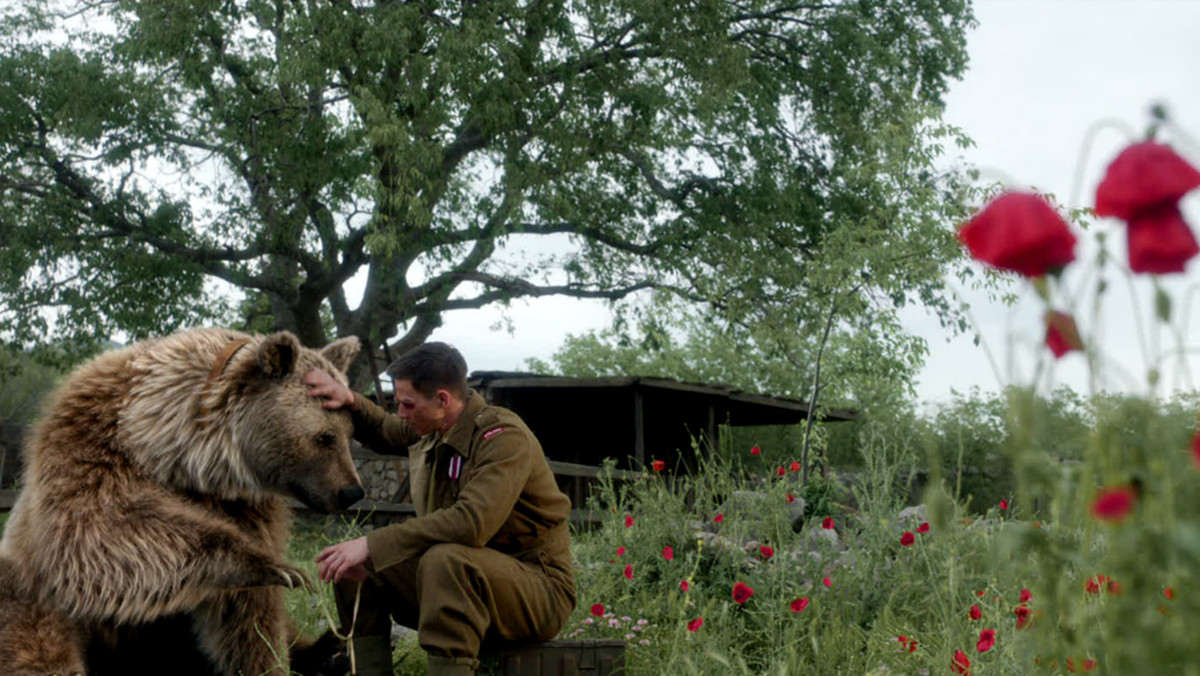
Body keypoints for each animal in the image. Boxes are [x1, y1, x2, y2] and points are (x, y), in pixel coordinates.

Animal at [1, 328, 364, 676]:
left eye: (349, 434)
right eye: (324, 437)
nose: (351, 492)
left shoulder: (243, 505)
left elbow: (248, 615)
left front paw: (268, 659)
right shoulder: (91, 445)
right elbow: (105, 530)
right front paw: (272, 566)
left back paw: (331, 653)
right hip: (36, 592)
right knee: (35, 636)